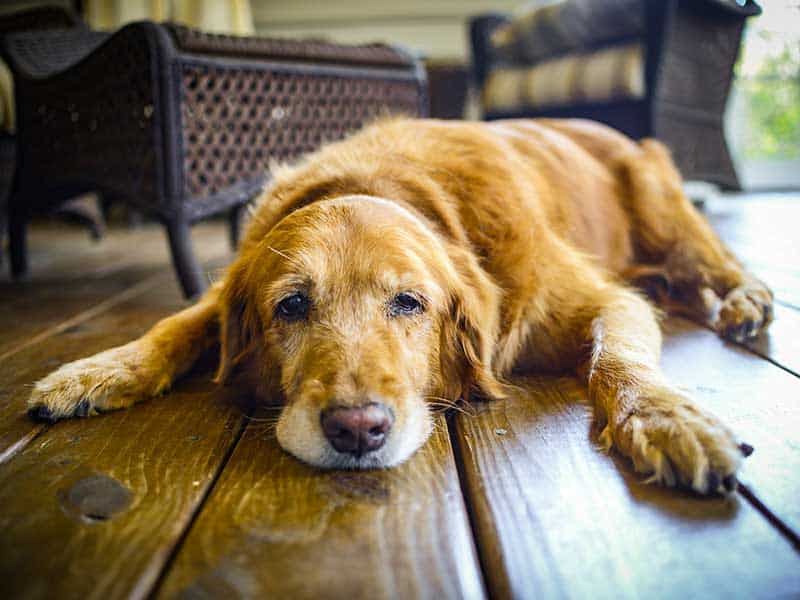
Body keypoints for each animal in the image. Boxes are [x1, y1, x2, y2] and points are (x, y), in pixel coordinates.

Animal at [28, 117, 772, 492]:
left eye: (409, 302)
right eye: (290, 307)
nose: (357, 430)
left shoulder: (603, 299)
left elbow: (618, 359)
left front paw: (666, 419)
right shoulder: (225, 288)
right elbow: (175, 324)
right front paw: (96, 372)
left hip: (662, 203)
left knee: (714, 260)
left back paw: (746, 300)